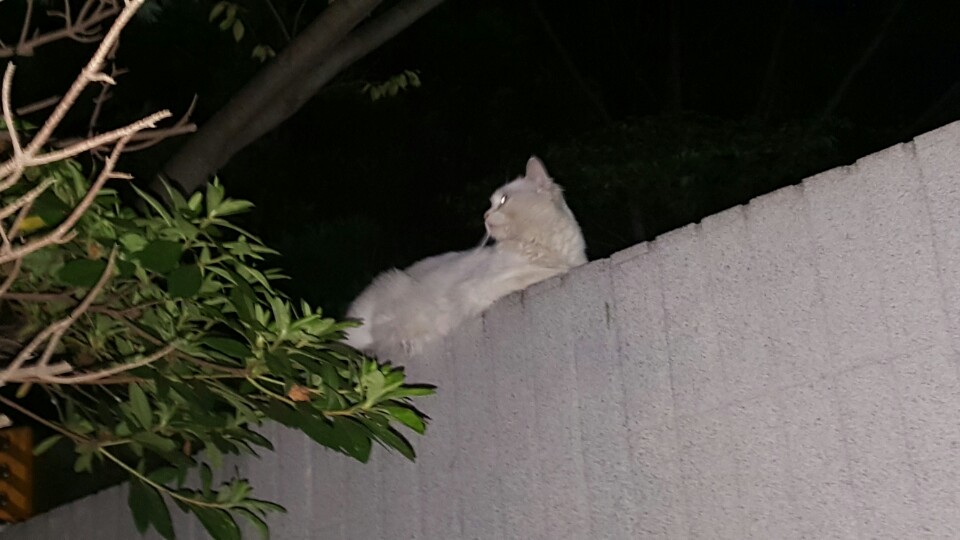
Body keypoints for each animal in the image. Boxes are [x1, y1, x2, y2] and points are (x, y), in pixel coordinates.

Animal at [343, 156, 587, 359]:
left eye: (504, 200)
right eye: (493, 203)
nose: (485, 215)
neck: (542, 245)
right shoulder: (483, 285)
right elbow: (543, 271)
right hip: (390, 288)